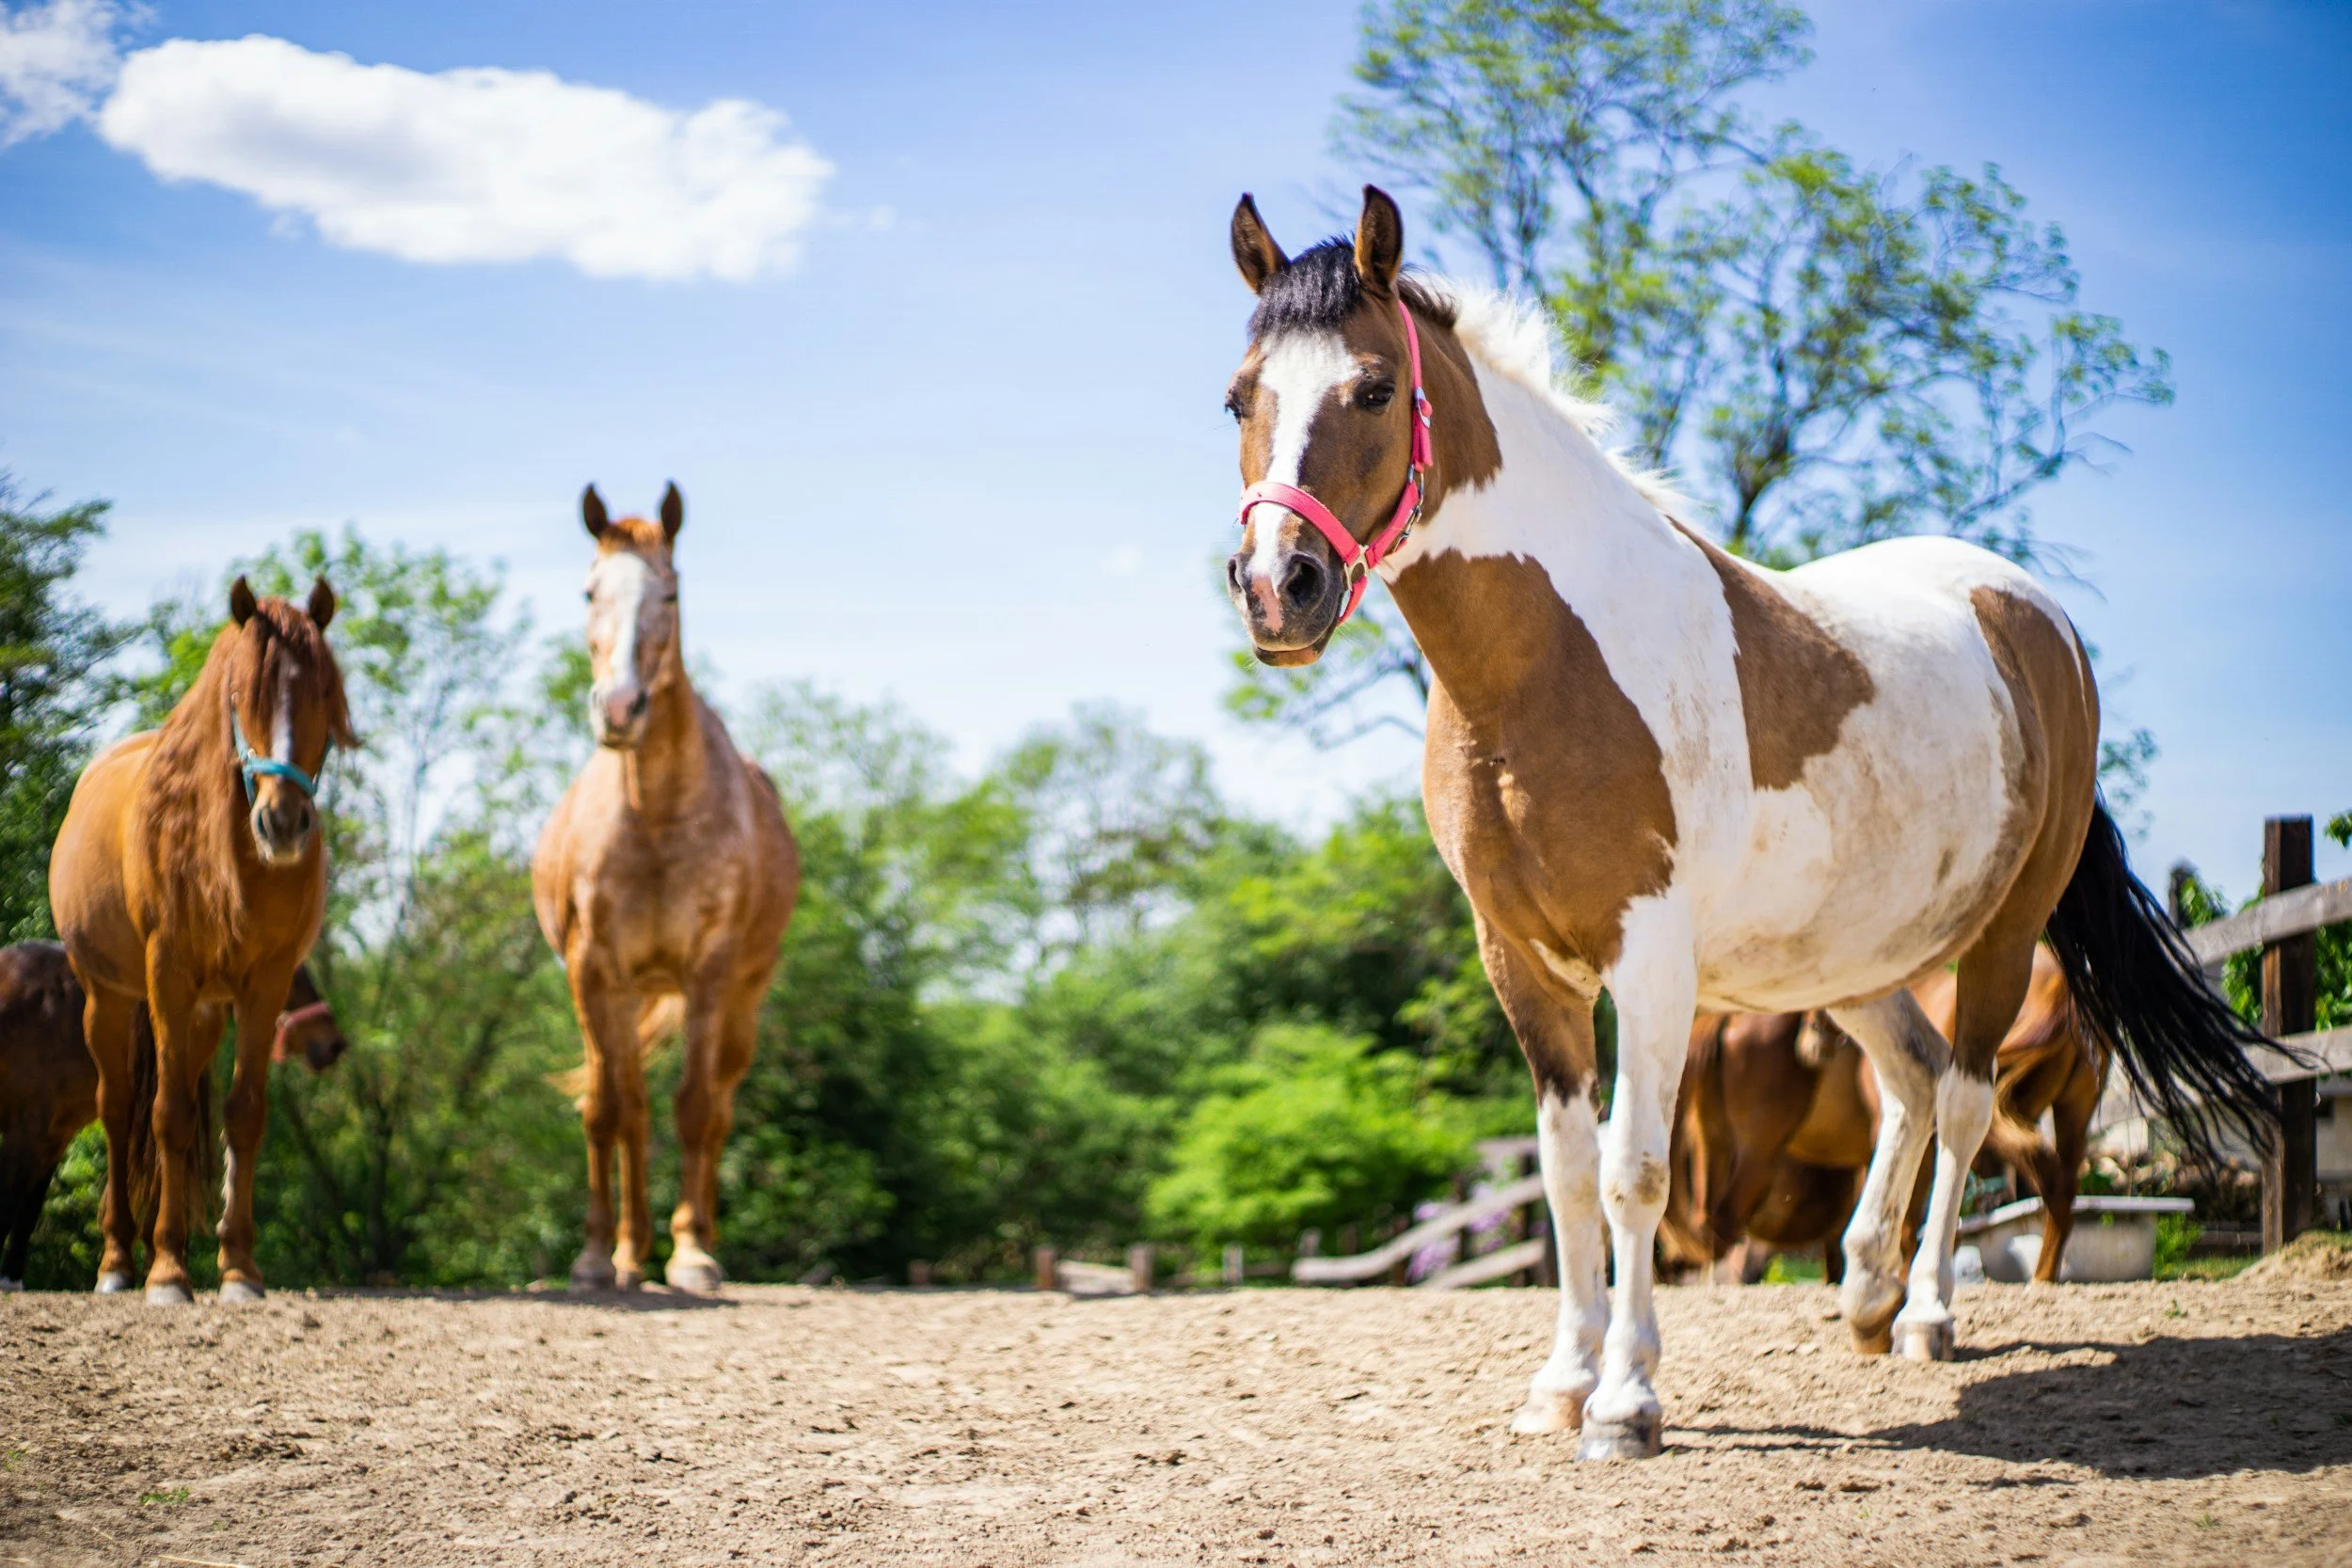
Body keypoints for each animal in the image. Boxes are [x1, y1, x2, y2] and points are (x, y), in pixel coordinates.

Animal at [0, 940, 347, 1289]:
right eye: (293, 970)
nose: (334, 1044)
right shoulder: (28, 1133)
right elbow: (10, 1201)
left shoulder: (53, 1137)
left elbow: (28, 1210)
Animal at [49, 576, 353, 1304]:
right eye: (242, 696)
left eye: (324, 694)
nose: (283, 822)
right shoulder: (168, 976)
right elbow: (166, 1116)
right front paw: (166, 1272)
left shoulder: (262, 984)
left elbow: (241, 1115)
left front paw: (237, 1265)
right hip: (108, 997)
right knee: (120, 1109)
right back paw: (118, 1259)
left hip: (205, 1014)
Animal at [532, 485, 798, 1294]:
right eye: (590, 591)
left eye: (671, 594)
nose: (621, 708)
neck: (655, 813)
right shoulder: (592, 970)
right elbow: (609, 1110)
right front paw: (595, 1256)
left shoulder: (709, 972)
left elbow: (694, 1108)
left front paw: (690, 1254)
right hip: (618, 995)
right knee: (627, 1107)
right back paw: (625, 1253)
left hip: (742, 999)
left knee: (715, 1108)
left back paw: (690, 1238)